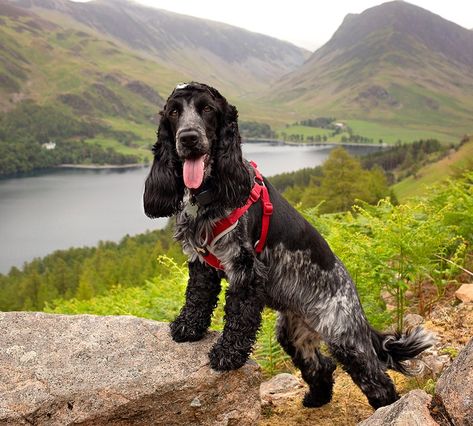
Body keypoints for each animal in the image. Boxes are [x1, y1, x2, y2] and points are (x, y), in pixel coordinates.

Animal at [143, 82, 432, 410]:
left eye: (207, 109)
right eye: (174, 112)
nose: (188, 138)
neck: (210, 192)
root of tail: (355, 299)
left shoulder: (246, 271)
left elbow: (238, 318)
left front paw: (227, 355)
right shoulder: (202, 263)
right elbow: (197, 298)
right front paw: (187, 327)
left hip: (344, 336)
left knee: (377, 378)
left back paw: (388, 409)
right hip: (293, 334)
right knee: (320, 365)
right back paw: (316, 399)